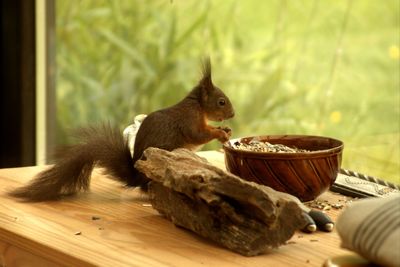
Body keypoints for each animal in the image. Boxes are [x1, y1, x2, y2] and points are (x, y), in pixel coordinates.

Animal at [8, 58, 234, 201]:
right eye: (221, 102)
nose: (233, 114)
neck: (198, 106)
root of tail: (137, 177)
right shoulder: (189, 120)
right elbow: (199, 134)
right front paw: (220, 133)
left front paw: (225, 130)